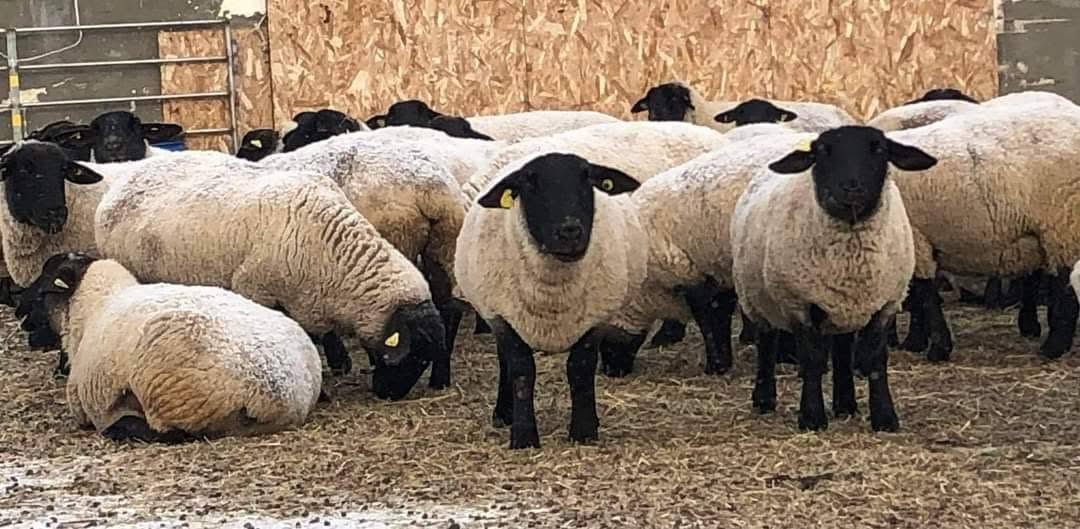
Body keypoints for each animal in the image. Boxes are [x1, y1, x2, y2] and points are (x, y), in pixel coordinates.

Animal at [18, 252, 322, 442]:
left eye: (43, 287)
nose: (19, 312)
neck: (96, 303)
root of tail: (279, 396)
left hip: (168, 394)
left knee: (169, 432)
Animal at [92, 154, 447, 401]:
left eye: (425, 360)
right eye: (415, 354)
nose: (390, 395)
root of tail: (124, 179)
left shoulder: (310, 295)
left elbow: (321, 331)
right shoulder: (256, 289)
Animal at [455, 152, 646, 449]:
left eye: (587, 178)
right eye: (529, 184)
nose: (570, 231)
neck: (553, 295)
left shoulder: (596, 318)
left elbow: (580, 369)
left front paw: (584, 431)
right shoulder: (503, 319)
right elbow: (521, 372)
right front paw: (524, 436)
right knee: (504, 363)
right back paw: (503, 413)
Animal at [731, 126, 938, 432]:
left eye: (878, 149)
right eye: (823, 151)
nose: (851, 187)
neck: (850, 257)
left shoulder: (885, 304)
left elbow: (876, 360)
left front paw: (884, 417)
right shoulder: (799, 304)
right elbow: (812, 360)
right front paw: (812, 417)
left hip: (843, 308)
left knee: (841, 348)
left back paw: (845, 404)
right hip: (756, 299)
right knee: (766, 343)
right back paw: (764, 399)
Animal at [887, 95, 1080, 361]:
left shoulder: (917, 238)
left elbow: (924, 294)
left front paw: (934, 347)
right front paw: (917, 341)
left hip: (1063, 224)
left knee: (1066, 287)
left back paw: (1053, 347)